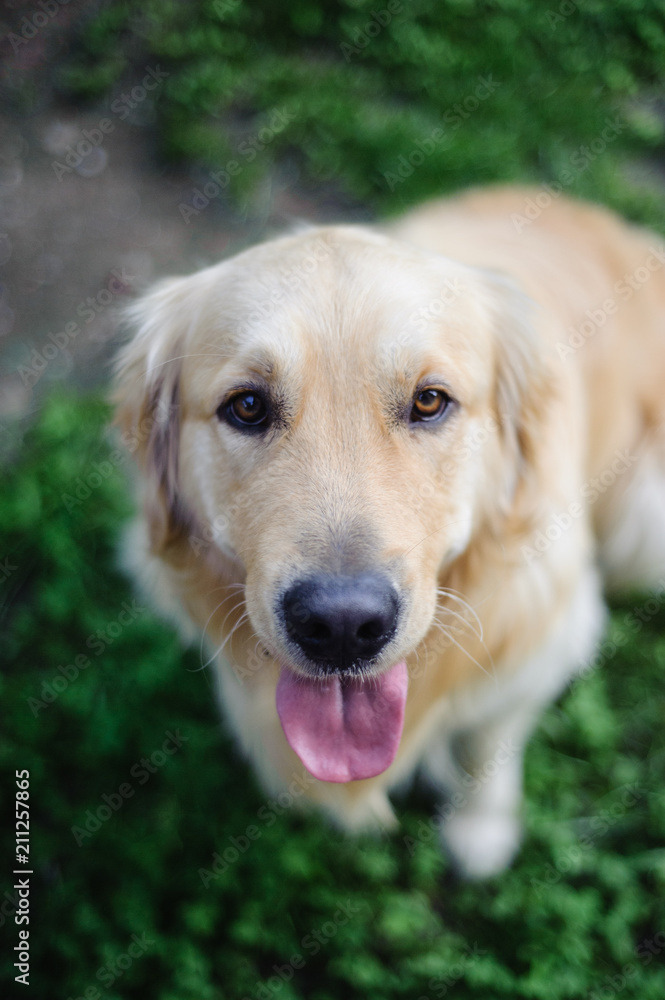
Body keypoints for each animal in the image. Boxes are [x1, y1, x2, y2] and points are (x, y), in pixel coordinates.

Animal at [113, 188, 664, 876]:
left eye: (429, 401)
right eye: (247, 405)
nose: (342, 626)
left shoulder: (546, 643)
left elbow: (489, 741)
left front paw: (481, 830)